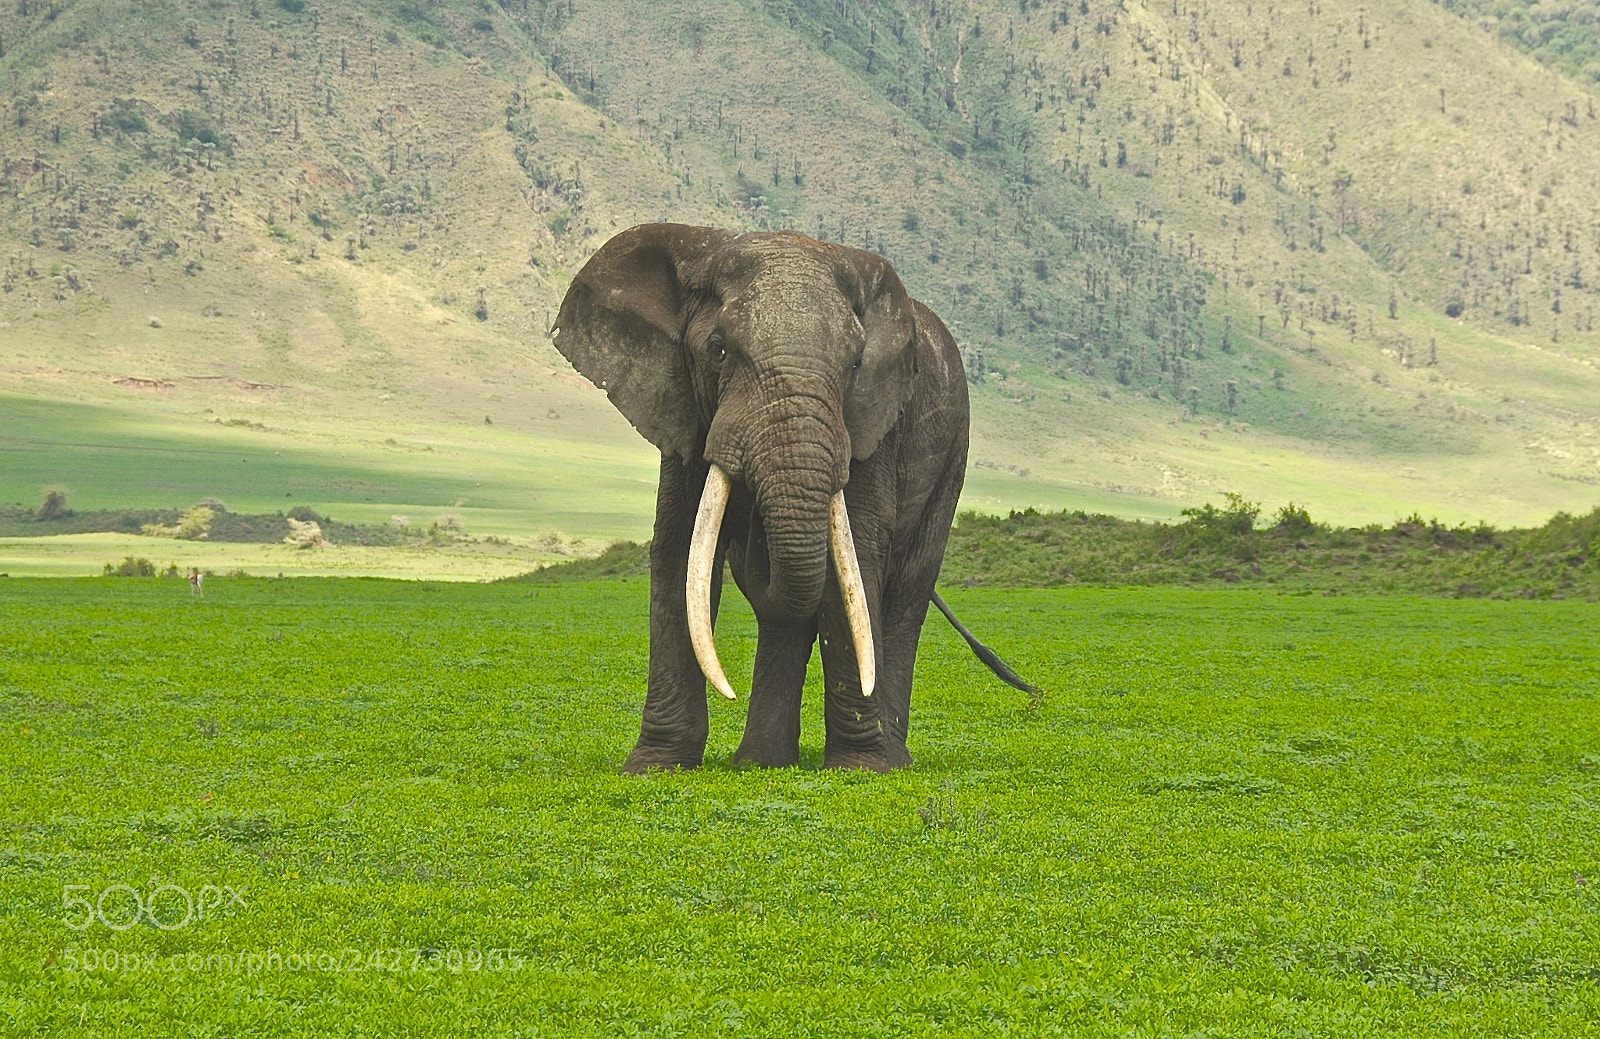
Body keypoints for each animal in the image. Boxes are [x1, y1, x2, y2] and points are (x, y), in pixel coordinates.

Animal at [556, 224, 1030, 768]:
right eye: (718, 350)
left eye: (855, 363)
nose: (752, 534)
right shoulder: (681, 410)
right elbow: (679, 557)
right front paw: (654, 768)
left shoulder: (871, 425)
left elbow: (855, 564)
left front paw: (861, 769)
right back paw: (760, 762)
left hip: (952, 455)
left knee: (906, 589)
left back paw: (889, 759)